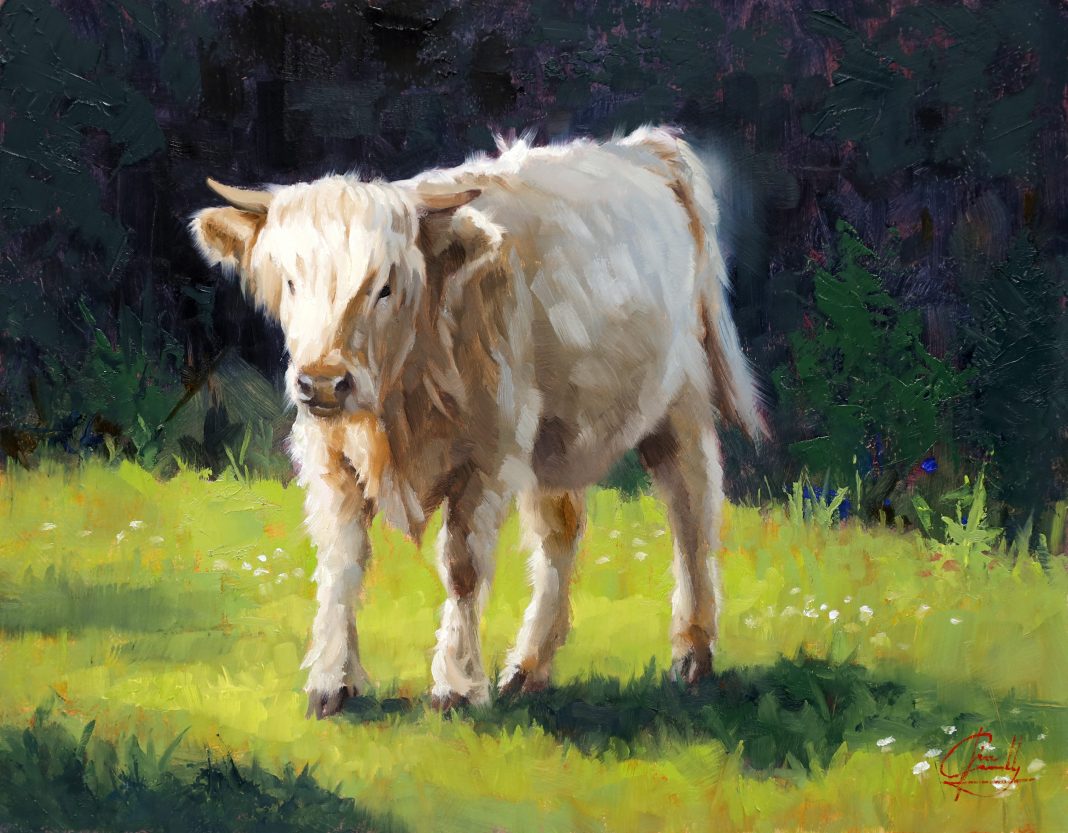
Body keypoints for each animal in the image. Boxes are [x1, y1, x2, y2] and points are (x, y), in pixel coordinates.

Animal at [190, 126, 763, 718]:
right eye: (290, 281)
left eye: (386, 287)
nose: (323, 382)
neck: (399, 398)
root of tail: (644, 147)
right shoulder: (330, 455)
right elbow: (341, 562)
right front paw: (332, 682)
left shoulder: (488, 457)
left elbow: (461, 566)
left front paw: (458, 685)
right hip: (556, 434)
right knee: (560, 531)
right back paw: (529, 668)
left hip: (680, 403)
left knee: (692, 512)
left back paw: (692, 654)